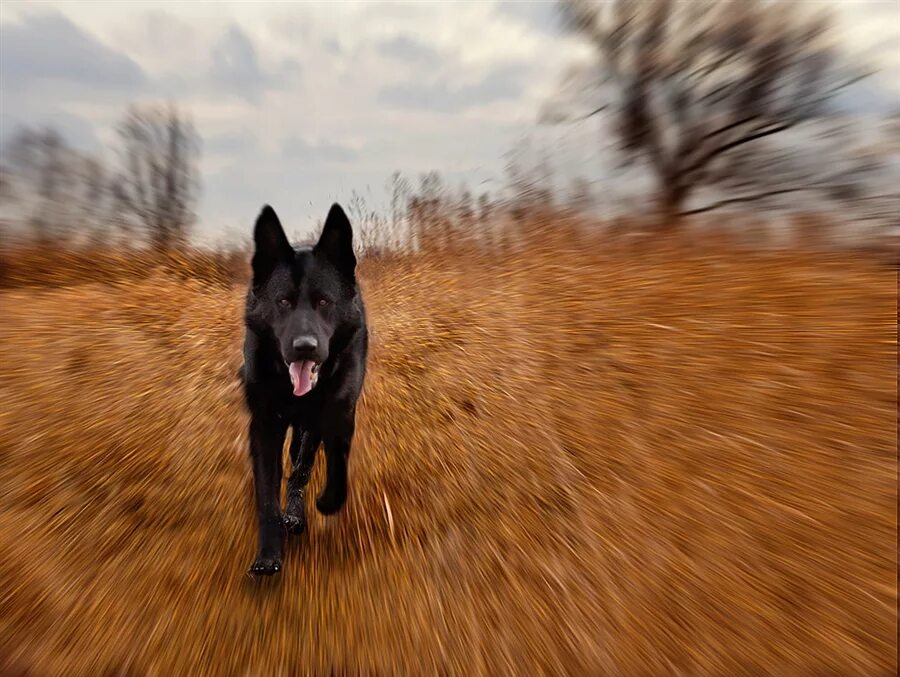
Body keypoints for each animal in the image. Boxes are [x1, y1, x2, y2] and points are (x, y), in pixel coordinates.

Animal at [241, 203, 368, 572]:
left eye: (324, 302)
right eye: (283, 302)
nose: (304, 347)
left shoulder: (335, 413)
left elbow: (329, 459)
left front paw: (329, 501)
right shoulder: (264, 427)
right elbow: (267, 497)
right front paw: (268, 556)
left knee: (303, 464)